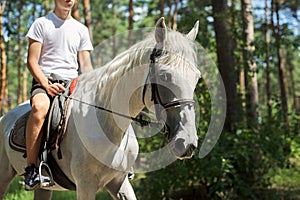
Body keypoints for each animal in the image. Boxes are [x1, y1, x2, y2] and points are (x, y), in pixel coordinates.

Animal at [0, 17, 202, 200]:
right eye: (164, 76)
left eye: (197, 77)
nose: (187, 143)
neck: (110, 125)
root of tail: (5, 117)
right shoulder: (85, 186)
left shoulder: (119, 182)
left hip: (44, 188)